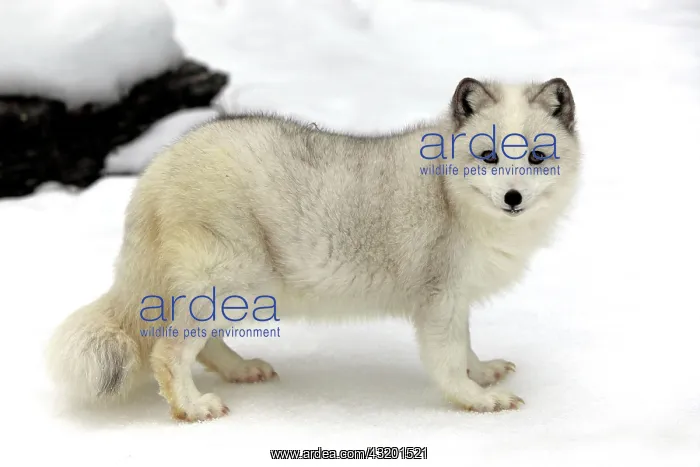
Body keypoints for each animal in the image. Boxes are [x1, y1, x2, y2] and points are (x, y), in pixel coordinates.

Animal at [46, 77, 581, 422]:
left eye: (537, 156)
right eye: (488, 156)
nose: (513, 198)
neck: (449, 195)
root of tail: (159, 167)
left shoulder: (457, 299)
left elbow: (467, 347)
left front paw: (484, 374)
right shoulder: (438, 299)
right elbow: (448, 362)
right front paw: (477, 401)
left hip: (231, 289)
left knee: (201, 345)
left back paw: (242, 370)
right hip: (228, 280)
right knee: (168, 351)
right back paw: (194, 408)